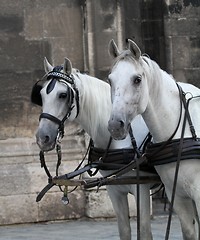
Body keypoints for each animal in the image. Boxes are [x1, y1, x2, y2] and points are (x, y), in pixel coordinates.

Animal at [33, 57, 155, 239]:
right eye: (41, 95)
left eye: (63, 95)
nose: (43, 138)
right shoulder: (114, 189)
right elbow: (124, 229)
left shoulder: (142, 188)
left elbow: (145, 231)